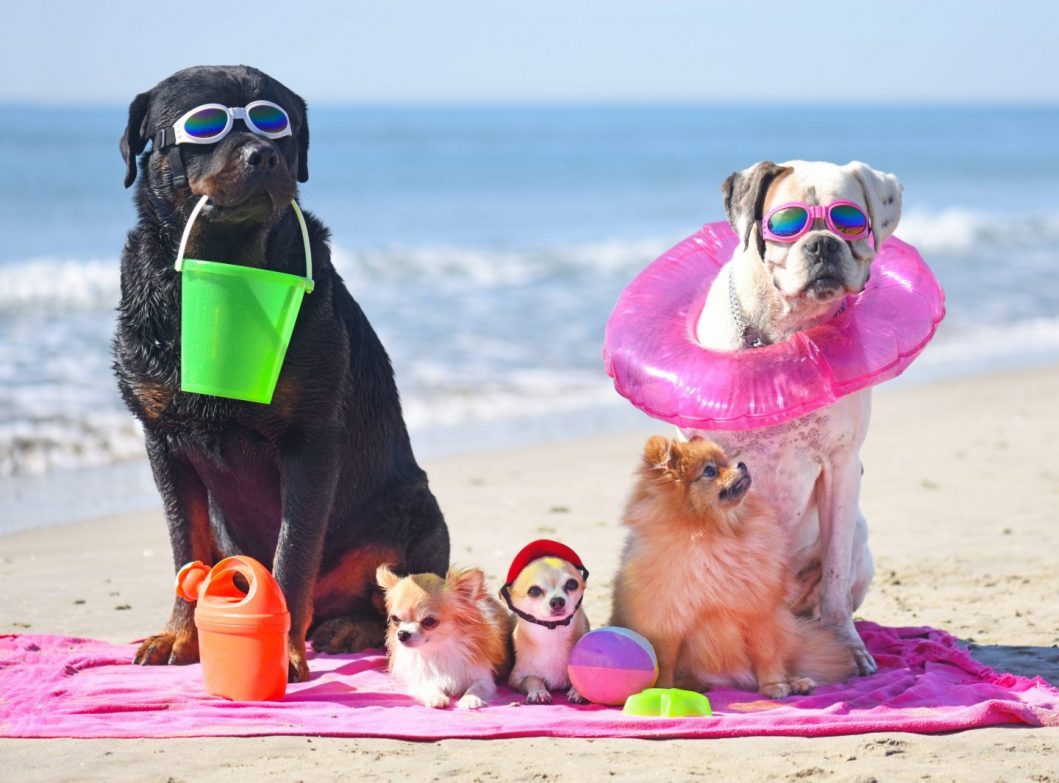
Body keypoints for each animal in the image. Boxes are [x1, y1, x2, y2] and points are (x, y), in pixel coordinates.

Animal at [115, 65, 446, 678]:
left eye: (277, 123)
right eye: (206, 123)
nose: (263, 154)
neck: (228, 267)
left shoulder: (311, 438)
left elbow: (293, 553)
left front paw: (282, 651)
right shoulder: (162, 437)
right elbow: (186, 547)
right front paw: (179, 635)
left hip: (415, 508)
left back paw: (348, 628)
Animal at [379, 563, 514, 712]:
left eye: (429, 621)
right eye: (395, 619)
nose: (402, 634)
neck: (439, 648)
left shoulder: (483, 677)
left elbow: (478, 686)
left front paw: (470, 698)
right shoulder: (419, 677)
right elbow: (425, 686)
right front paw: (435, 697)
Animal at [499, 542, 593, 707]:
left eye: (572, 584)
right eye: (534, 591)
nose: (557, 601)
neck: (553, 635)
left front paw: (578, 691)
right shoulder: (516, 679)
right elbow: (532, 678)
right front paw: (538, 692)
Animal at [609, 438, 855, 699]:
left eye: (726, 461)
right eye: (710, 471)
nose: (742, 464)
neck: (713, 533)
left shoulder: (759, 611)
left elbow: (767, 653)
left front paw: (773, 684)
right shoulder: (668, 619)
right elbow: (665, 661)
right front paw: (663, 692)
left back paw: (797, 682)